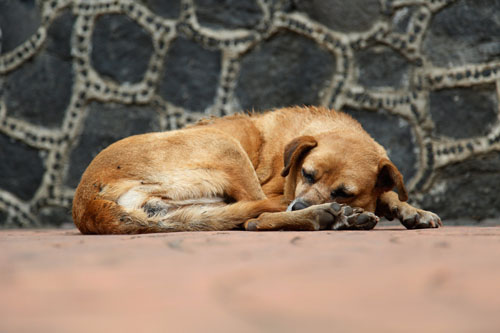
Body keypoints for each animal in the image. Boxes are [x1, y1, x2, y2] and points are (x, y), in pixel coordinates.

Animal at [72, 106, 440, 233]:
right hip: (226, 146)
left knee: (248, 218)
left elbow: (389, 193)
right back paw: (325, 217)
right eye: (307, 174)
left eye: (344, 191)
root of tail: (85, 205)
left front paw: (413, 211)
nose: (299, 203)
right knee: (256, 219)